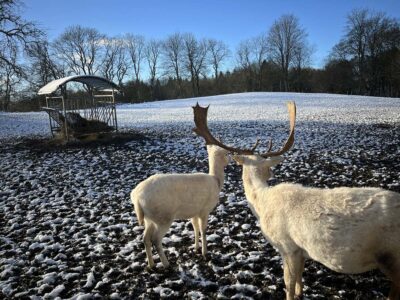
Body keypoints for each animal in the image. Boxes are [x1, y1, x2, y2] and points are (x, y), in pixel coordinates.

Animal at [194, 101, 400, 300]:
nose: (271, 172)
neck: (262, 204)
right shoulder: (301, 251)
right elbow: (300, 277)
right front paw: (301, 293)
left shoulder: (288, 246)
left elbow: (288, 283)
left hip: (392, 256)